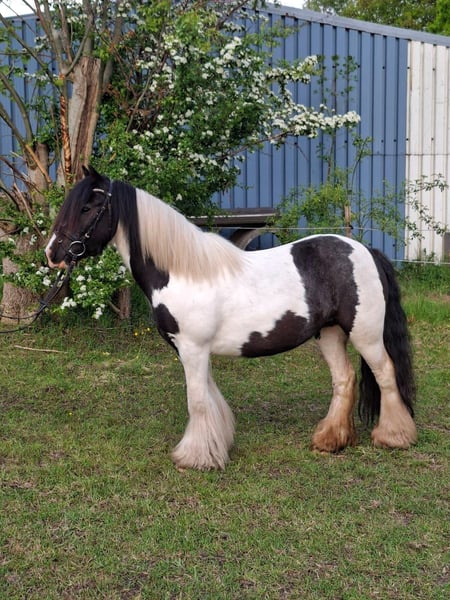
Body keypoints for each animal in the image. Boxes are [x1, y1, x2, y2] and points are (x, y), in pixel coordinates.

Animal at [45, 166, 417, 470]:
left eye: (87, 207)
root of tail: (367, 251)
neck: (181, 272)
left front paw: (195, 458)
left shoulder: (193, 348)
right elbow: (209, 397)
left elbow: (197, 401)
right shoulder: (191, 350)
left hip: (365, 334)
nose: (53, 253)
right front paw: (215, 445)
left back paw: (394, 436)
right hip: (329, 333)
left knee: (386, 374)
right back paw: (330, 440)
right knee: (344, 379)